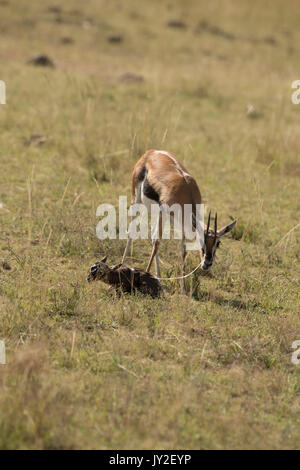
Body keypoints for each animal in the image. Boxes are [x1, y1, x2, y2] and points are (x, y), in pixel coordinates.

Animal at [122, 149, 237, 292]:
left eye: (218, 243)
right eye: (201, 241)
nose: (207, 263)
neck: (186, 190)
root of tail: (151, 152)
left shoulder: (184, 225)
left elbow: (183, 250)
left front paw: (183, 289)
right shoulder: (164, 211)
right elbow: (157, 241)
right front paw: (146, 275)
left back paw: (158, 277)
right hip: (137, 200)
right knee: (132, 232)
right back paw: (122, 264)